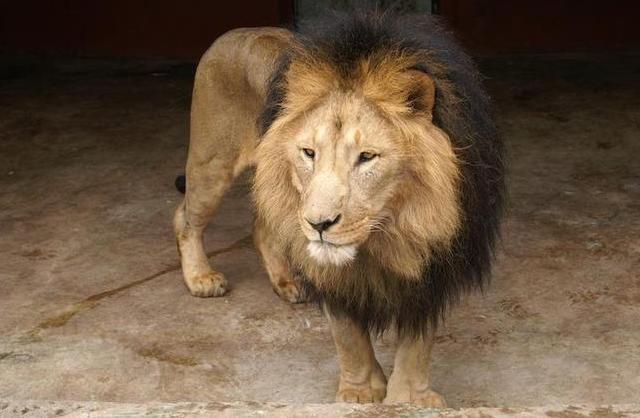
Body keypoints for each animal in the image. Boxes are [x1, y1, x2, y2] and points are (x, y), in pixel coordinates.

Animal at [174, 11, 504, 407]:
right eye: (308, 153)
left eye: (367, 157)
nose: (318, 224)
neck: (389, 232)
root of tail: (236, 32)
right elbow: (348, 337)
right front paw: (360, 393)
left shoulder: (435, 266)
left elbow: (417, 344)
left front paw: (409, 398)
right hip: (212, 163)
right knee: (185, 218)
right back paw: (201, 278)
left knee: (262, 226)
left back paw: (287, 283)